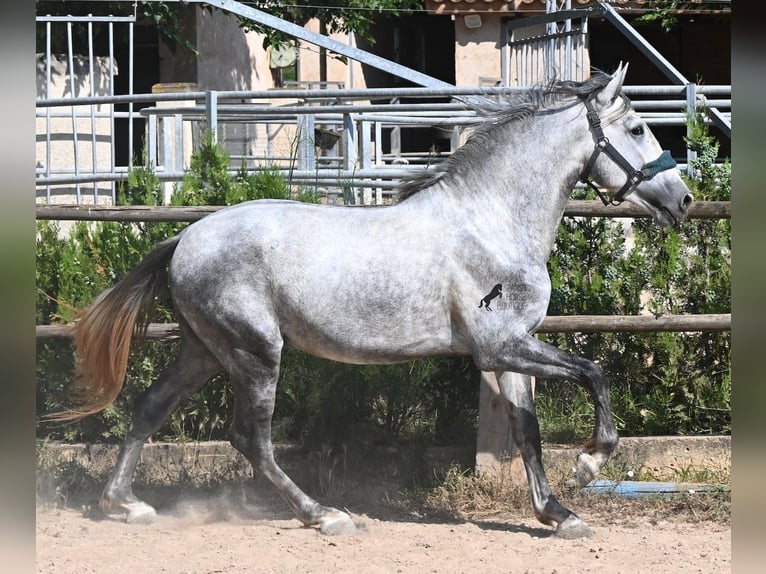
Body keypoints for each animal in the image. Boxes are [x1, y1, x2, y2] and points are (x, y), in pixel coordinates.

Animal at [55, 64, 692, 539]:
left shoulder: (512, 350)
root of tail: (185, 239)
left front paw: (559, 515)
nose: (683, 200)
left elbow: (528, 432)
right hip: (254, 352)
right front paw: (589, 464)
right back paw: (325, 515)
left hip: (205, 350)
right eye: (639, 128)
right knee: (251, 438)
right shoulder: (499, 346)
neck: (491, 220)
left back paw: (125, 505)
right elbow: (594, 372)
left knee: (149, 407)